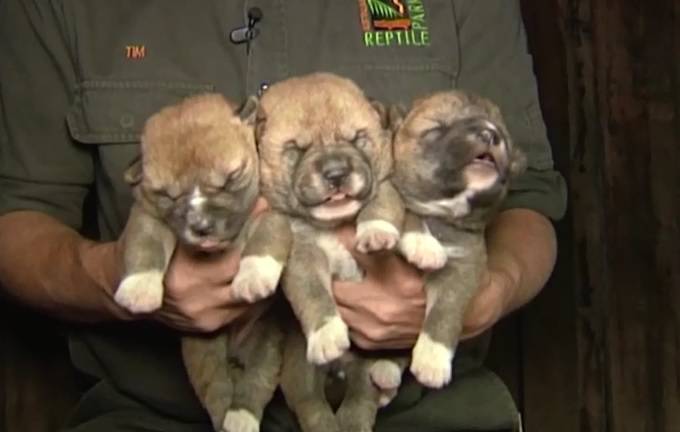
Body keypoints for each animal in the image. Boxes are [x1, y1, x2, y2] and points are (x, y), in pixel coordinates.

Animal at [114, 92, 291, 432]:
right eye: (167, 195)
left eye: (230, 179)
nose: (201, 226)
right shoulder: (147, 215)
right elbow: (145, 245)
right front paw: (139, 288)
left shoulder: (274, 213)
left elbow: (266, 236)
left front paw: (253, 276)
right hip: (202, 350)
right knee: (216, 391)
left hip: (266, 346)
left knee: (253, 384)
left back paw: (241, 417)